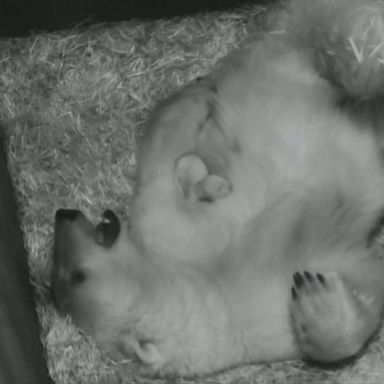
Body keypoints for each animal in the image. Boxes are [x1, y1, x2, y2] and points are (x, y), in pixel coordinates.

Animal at [51, 0, 384, 378]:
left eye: (75, 276)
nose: (63, 214)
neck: (223, 294)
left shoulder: (181, 248)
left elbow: (168, 177)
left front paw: (203, 172)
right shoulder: (272, 317)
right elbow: (363, 292)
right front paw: (317, 296)